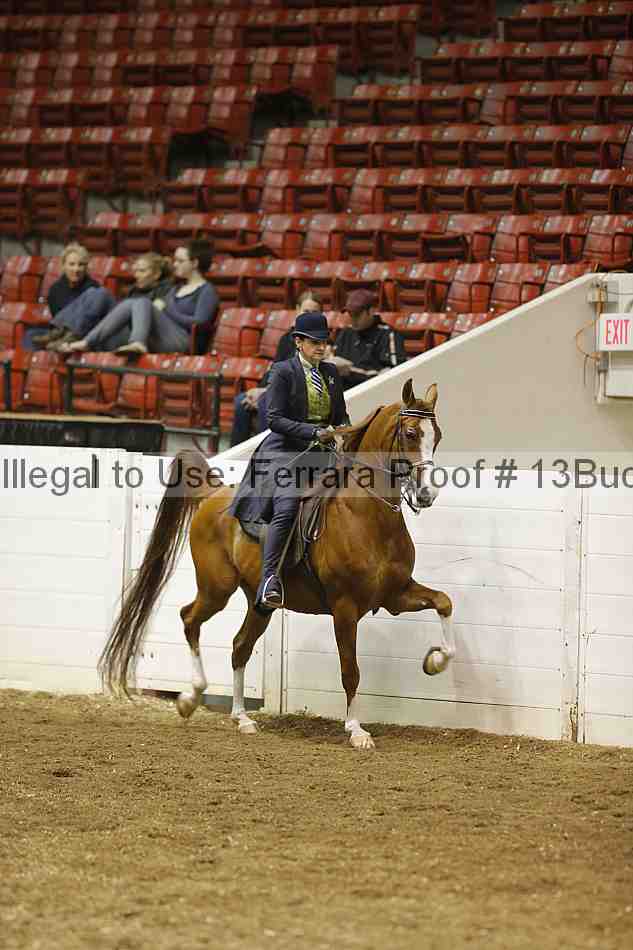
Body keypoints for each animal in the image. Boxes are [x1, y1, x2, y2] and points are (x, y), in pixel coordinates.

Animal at [99, 379, 456, 750]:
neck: (366, 515)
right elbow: (351, 670)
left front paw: (435, 660)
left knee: (239, 646)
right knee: (189, 619)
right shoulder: (345, 607)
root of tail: (213, 494)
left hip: (259, 603)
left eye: (437, 435)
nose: (427, 494)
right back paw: (190, 698)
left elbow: (444, 602)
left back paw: (242, 718)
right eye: (411, 433)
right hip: (217, 589)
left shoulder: (395, 595)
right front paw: (357, 730)